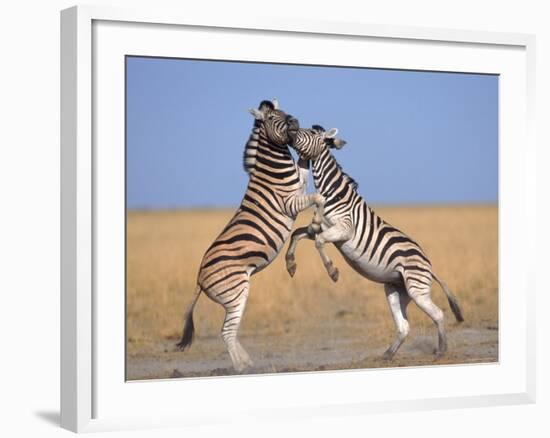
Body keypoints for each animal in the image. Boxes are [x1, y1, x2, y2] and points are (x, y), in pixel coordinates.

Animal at [177, 101, 326, 372]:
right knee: (226, 332)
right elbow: (318, 198)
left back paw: (248, 362)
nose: (295, 122)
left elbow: (304, 169)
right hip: (236, 291)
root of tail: (199, 278)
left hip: (234, 295)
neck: (274, 170)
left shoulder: (299, 185)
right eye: (272, 118)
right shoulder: (289, 202)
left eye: (285, 112)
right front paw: (316, 222)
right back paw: (241, 368)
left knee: (231, 331)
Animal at [286, 124, 464, 360]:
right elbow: (297, 235)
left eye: (311, 133)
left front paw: (332, 272)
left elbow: (319, 243)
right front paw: (290, 264)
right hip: (396, 290)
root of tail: (428, 264)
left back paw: (441, 351)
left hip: (416, 288)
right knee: (404, 326)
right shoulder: (320, 227)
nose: (290, 129)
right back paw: (387, 354)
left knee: (438, 314)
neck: (331, 193)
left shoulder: (344, 229)